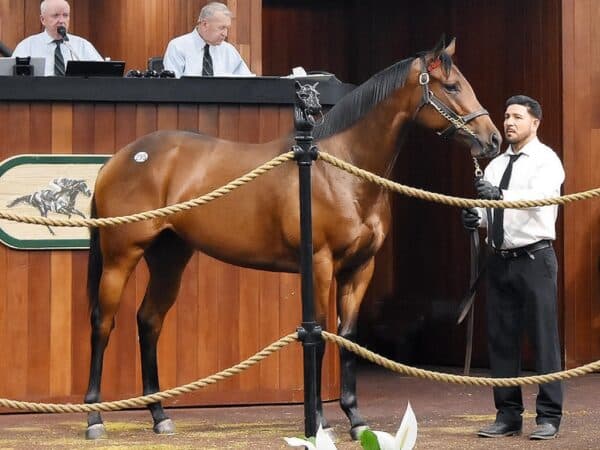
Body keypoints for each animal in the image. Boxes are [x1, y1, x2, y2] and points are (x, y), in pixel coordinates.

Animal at [83, 38, 502, 440]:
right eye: (451, 86)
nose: (493, 139)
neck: (340, 169)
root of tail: (121, 157)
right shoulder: (319, 264)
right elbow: (317, 334)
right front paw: (319, 422)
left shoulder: (359, 268)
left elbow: (347, 337)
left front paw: (356, 420)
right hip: (121, 256)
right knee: (104, 323)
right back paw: (94, 418)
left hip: (169, 256)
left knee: (149, 320)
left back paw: (159, 416)